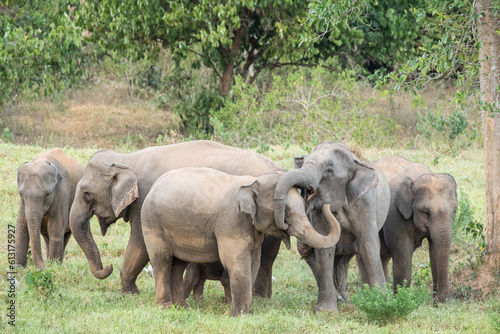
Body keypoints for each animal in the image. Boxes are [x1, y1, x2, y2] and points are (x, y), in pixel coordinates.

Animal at [69, 140, 286, 294]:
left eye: (86, 194)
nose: (108, 267)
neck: (127, 159)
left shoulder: (145, 203)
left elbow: (139, 243)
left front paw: (129, 293)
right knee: (268, 258)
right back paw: (264, 297)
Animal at [143, 167, 342, 316]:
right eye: (286, 211)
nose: (325, 204)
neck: (253, 181)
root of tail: (153, 187)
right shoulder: (230, 223)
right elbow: (237, 262)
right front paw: (237, 315)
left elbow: (254, 263)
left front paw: (243, 312)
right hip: (153, 225)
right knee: (162, 262)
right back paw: (166, 308)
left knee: (178, 265)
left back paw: (182, 308)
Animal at [274, 142, 390, 312]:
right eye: (305, 161)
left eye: (329, 170)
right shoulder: (316, 212)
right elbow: (325, 250)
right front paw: (326, 311)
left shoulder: (365, 202)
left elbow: (368, 246)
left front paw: (381, 302)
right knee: (311, 251)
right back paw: (341, 298)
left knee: (353, 254)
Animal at [374, 155, 458, 302]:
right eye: (426, 212)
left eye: (454, 211)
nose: (439, 300)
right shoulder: (394, 213)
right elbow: (403, 254)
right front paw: (403, 299)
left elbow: (434, 250)